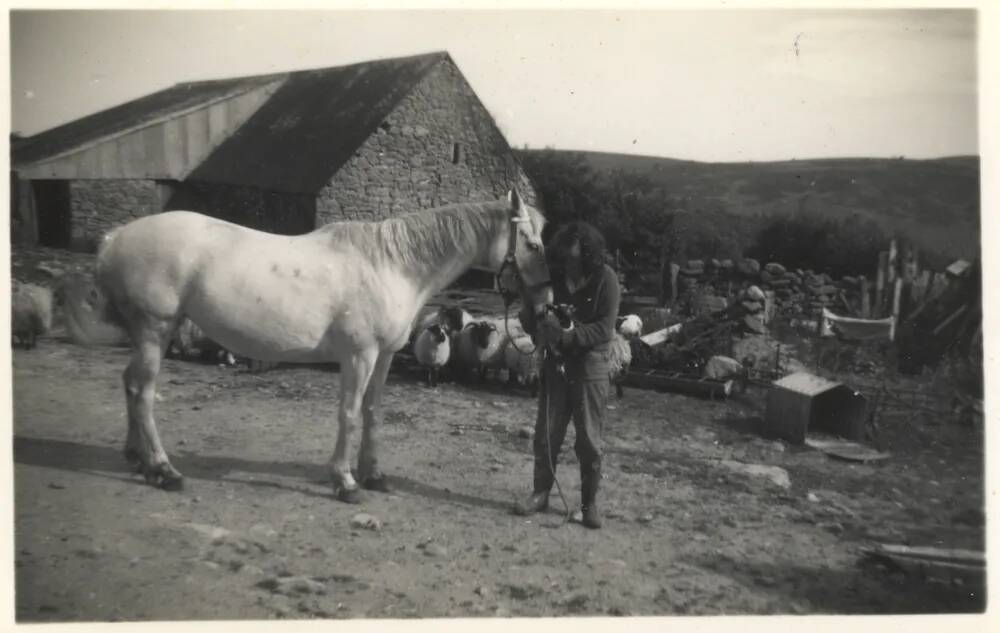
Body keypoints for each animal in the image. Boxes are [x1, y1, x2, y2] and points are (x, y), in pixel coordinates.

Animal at [58, 188, 552, 504]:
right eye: (531, 243)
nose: (546, 305)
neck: (392, 265)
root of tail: (115, 238)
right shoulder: (359, 356)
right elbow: (349, 415)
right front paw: (345, 482)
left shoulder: (385, 356)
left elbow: (373, 412)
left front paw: (374, 475)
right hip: (154, 330)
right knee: (143, 393)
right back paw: (163, 470)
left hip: (150, 335)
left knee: (129, 385)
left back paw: (136, 459)